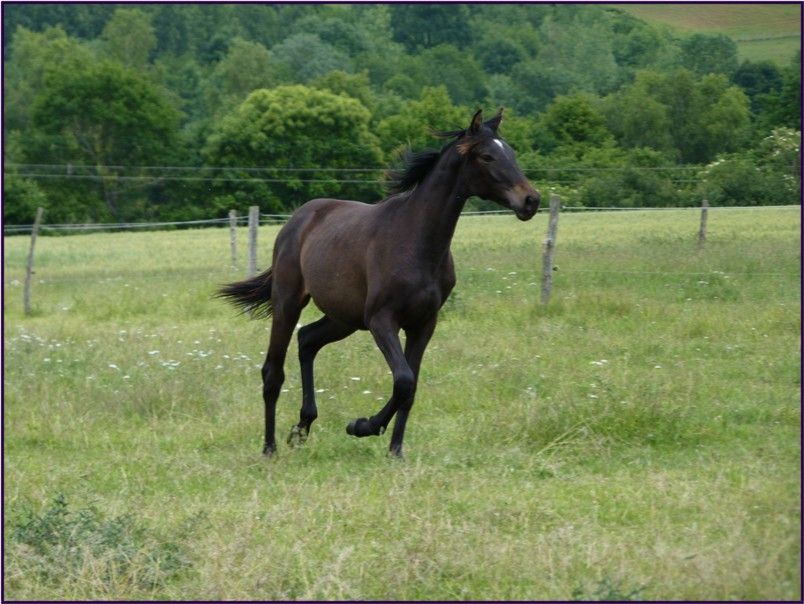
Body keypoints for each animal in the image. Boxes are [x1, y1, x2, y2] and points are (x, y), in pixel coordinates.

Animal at [218, 109, 540, 458]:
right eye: (487, 156)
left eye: (512, 153)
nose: (531, 200)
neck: (416, 241)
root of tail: (297, 220)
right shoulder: (381, 320)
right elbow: (403, 379)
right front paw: (362, 426)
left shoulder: (424, 324)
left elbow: (411, 387)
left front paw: (395, 451)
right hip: (289, 302)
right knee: (273, 372)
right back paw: (270, 447)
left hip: (344, 318)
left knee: (307, 341)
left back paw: (301, 428)